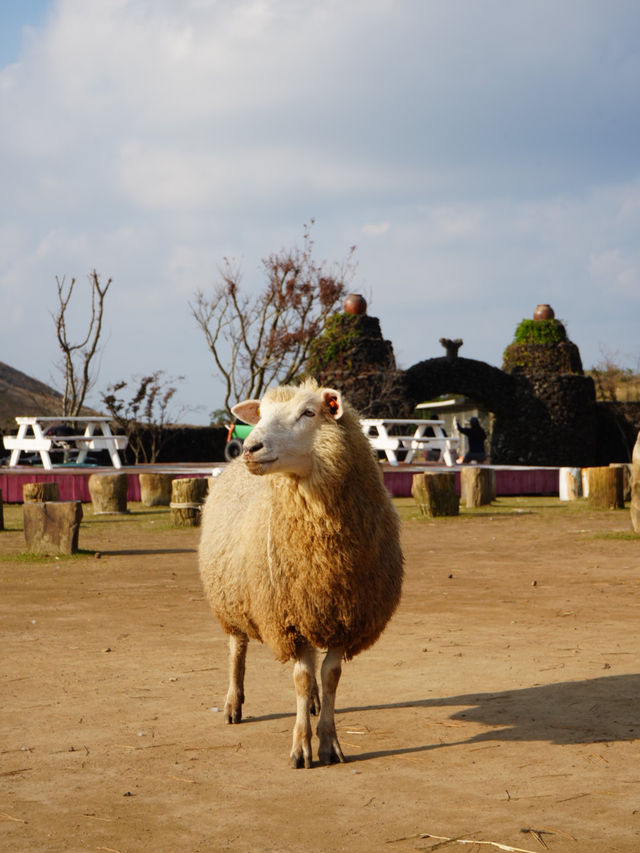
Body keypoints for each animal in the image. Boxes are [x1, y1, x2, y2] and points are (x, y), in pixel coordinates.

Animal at [198, 378, 402, 764]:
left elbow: (330, 675)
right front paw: (302, 748)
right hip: (229, 599)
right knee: (236, 649)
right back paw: (233, 704)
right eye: (261, 413)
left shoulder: (346, 615)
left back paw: (313, 705)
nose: (249, 448)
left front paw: (329, 741)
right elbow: (302, 679)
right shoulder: (289, 617)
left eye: (309, 412)